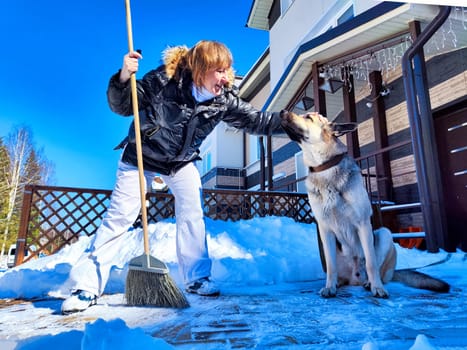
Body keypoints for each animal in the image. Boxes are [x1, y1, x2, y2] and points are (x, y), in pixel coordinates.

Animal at [282, 112, 450, 298]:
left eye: (308, 117)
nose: (282, 112)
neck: (325, 168)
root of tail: (355, 278)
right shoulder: (325, 229)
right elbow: (331, 267)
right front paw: (330, 286)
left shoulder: (362, 223)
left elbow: (371, 263)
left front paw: (377, 288)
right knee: (337, 271)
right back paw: (339, 283)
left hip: (384, 234)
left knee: (377, 267)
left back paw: (370, 283)